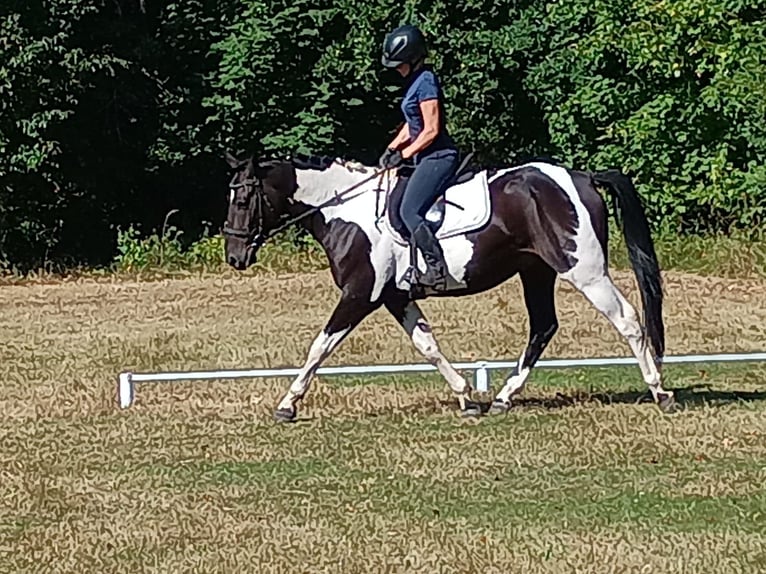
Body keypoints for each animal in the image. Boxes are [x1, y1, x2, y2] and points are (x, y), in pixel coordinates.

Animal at [221, 150, 675, 423]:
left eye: (242, 201)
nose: (234, 257)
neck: (345, 209)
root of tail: (581, 176)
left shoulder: (360, 295)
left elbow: (320, 346)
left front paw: (287, 404)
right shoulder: (395, 297)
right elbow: (427, 345)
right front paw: (466, 397)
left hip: (585, 270)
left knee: (628, 320)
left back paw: (660, 391)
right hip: (536, 271)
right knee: (543, 327)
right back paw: (503, 398)